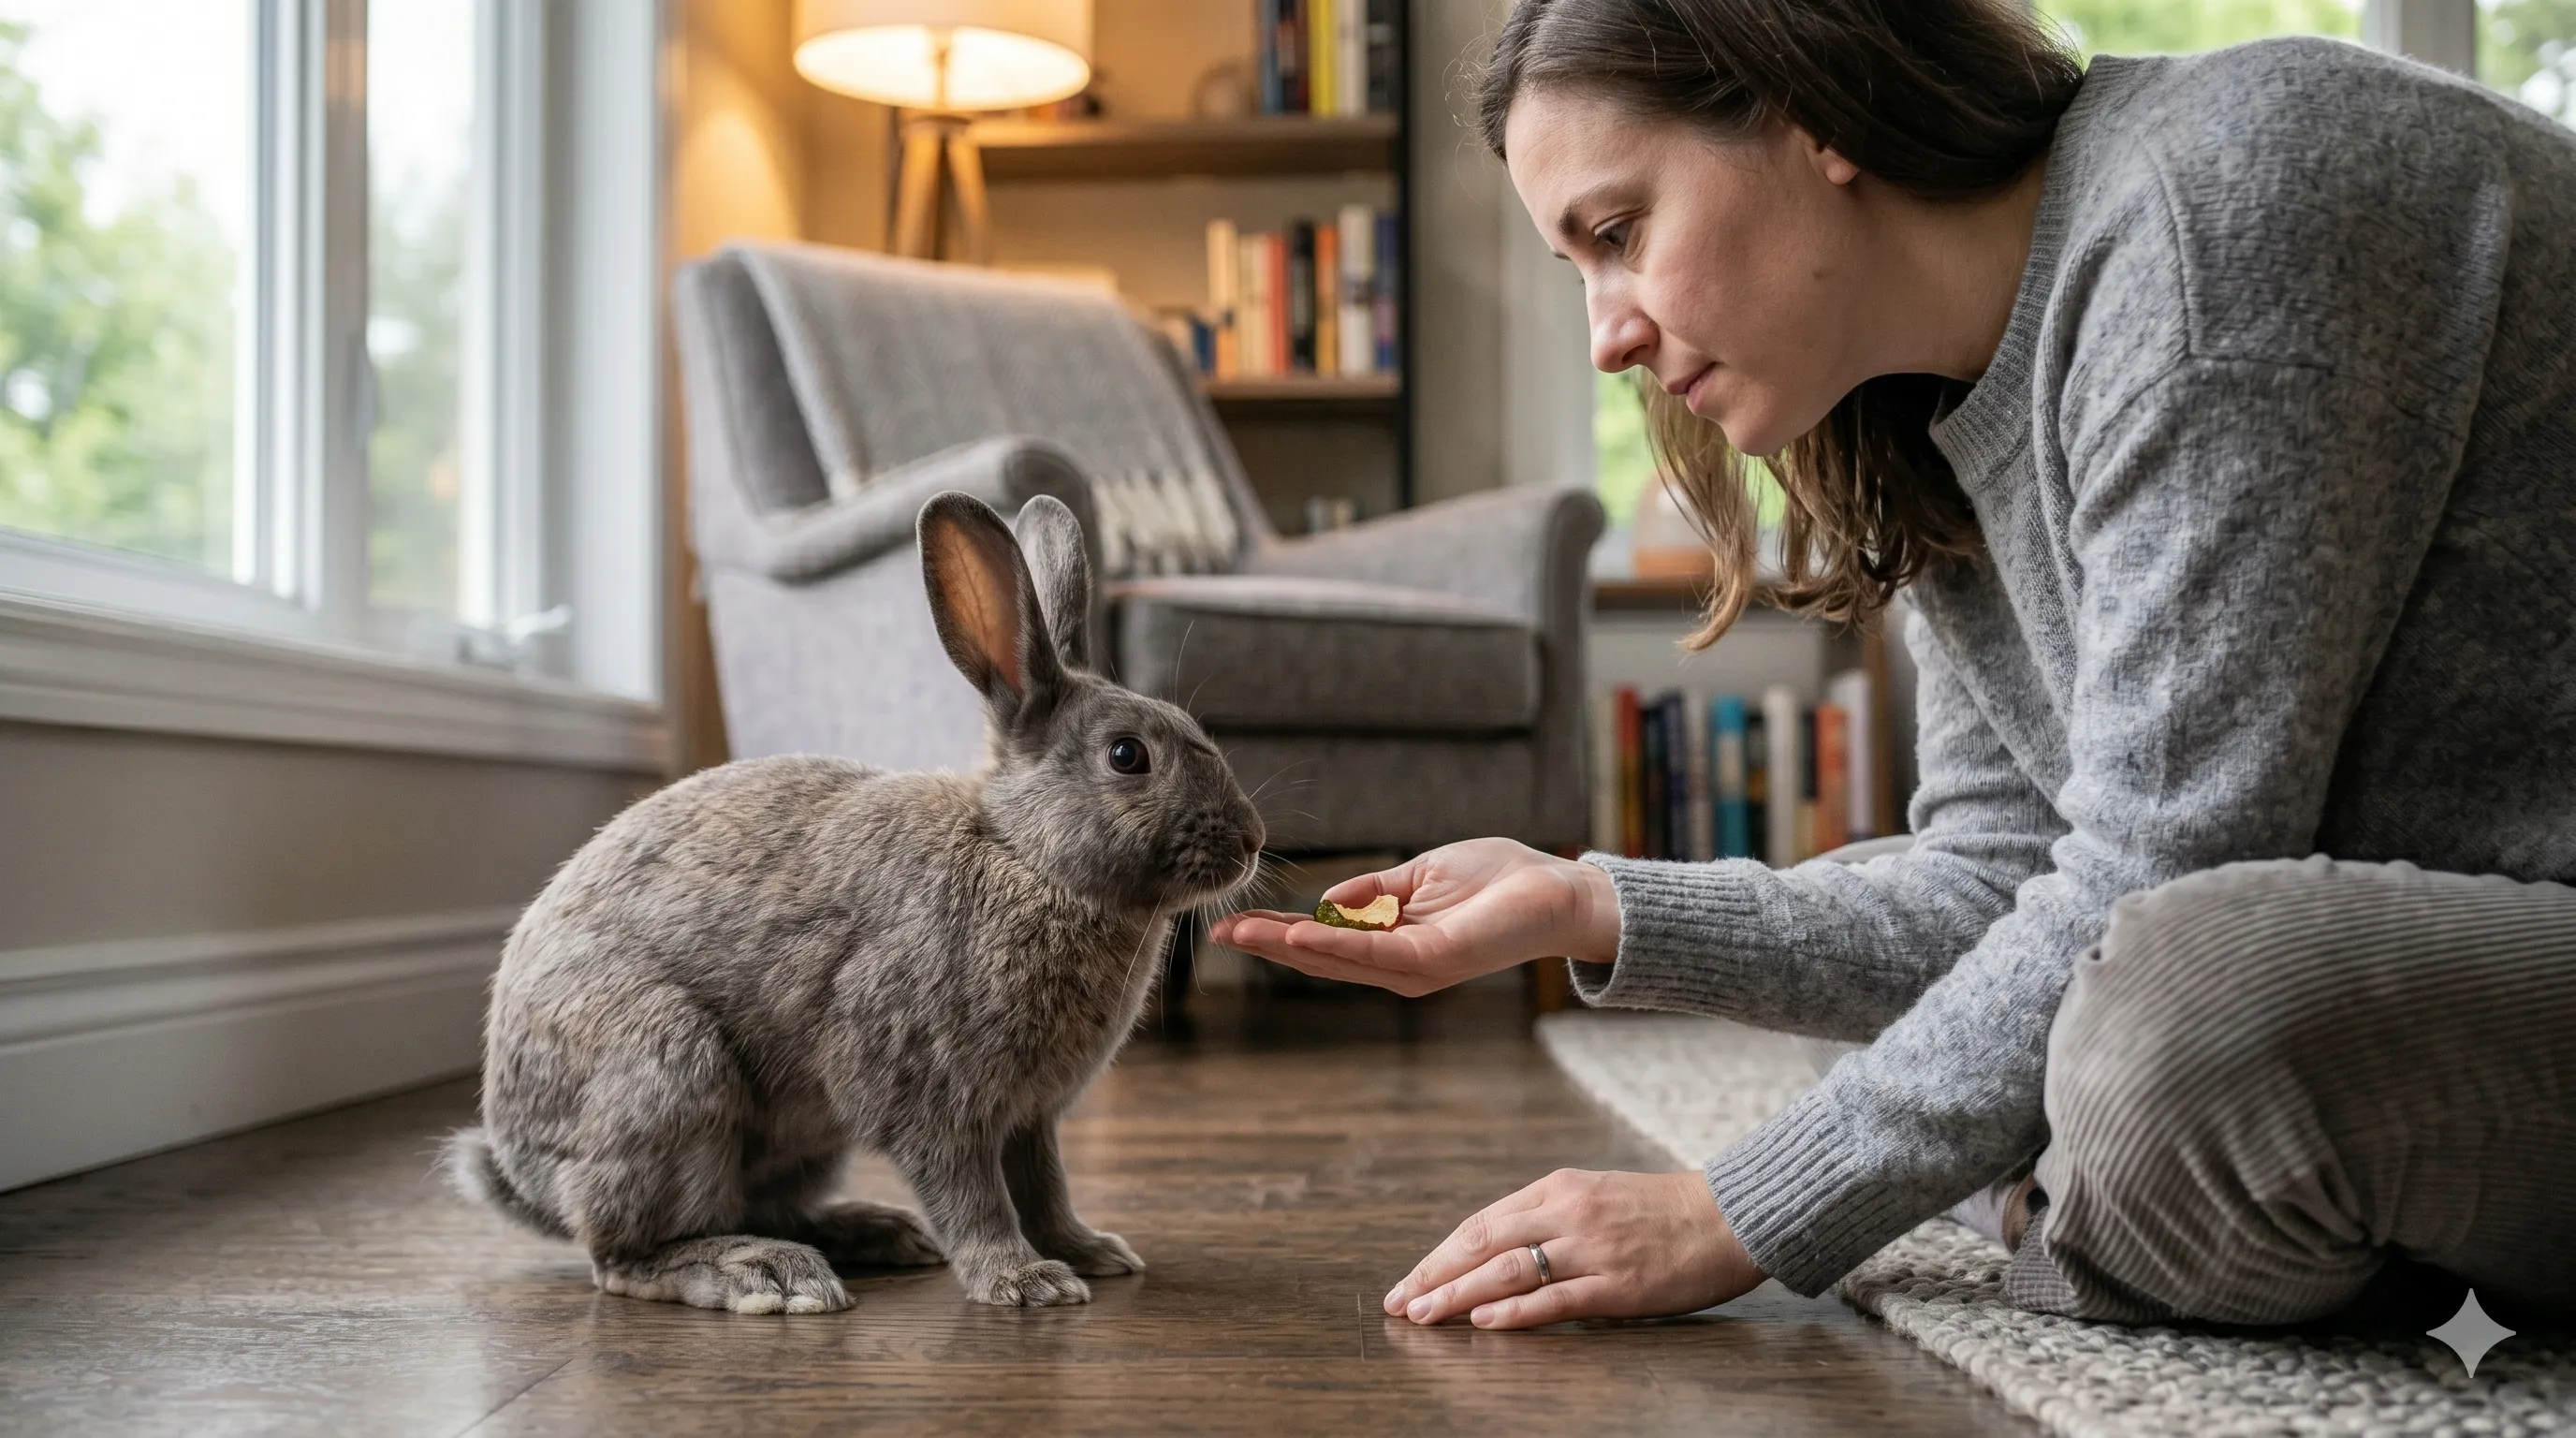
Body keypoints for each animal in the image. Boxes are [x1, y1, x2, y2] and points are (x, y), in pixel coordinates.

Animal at [442, 491, 1266, 1313]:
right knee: (624, 1255)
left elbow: (1046, 1188)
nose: (1252, 840)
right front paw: (1023, 1280)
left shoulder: (1031, 1118)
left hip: (799, 1141)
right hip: (670, 1077)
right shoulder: (930, 1090)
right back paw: (766, 1273)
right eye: (1128, 756)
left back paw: (874, 1233)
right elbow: (974, 1196)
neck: (1023, 855)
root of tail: (521, 1172)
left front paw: (1091, 1251)